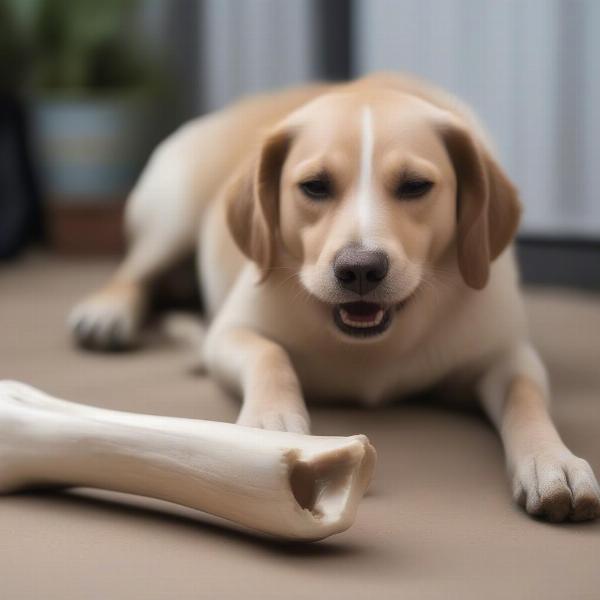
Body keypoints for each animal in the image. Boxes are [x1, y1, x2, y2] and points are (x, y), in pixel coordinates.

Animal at [68, 72, 596, 524]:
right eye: (315, 187)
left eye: (415, 186)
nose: (360, 268)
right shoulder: (233, 331)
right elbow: (270, 355)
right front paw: (270, 423)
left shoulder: (507, 355)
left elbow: (525, 398)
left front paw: (552, 460)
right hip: (171, 214)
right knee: (134, 270)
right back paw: (108, 311)